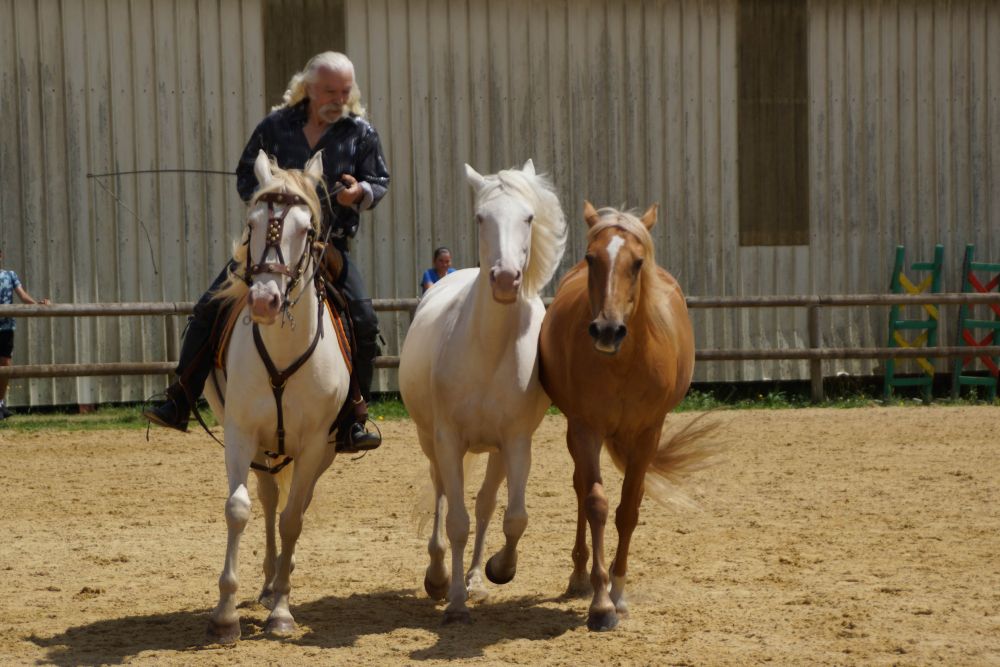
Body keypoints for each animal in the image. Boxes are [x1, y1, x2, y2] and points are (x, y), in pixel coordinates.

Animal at [200, 149, 351, 643]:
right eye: (252, 223)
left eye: (306, 230)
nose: (264, 301)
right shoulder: (240, 432)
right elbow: (239, 509)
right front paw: (225, 615)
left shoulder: (314, 444)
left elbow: (293, 519)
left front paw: (282, 612)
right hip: (263, 448)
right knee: (267, 499)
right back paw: (266, 584)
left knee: (293, 506)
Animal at [398, 160, 567, 624]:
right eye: (480, 217)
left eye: (529, 217)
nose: (506, 279)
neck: (488, 349)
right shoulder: (448, 439)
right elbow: (456, 521)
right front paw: (454, 601)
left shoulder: (516, 442)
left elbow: (514, 517)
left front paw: (497, 570)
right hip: (431, 441)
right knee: (441, 497)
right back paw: (439, 577)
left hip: (494, 451)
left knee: (487, 504)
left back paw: (474, 577)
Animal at [538, 202, 714, 631]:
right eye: (591, 258)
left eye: (637, 262)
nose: (607, 330)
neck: (622, 364)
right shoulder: (585, 429)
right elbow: (597, 503)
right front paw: (600, 601)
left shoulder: (648, 433)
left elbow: (628, 509)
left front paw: (618, 592)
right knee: (580, 490)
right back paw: (579, 575)